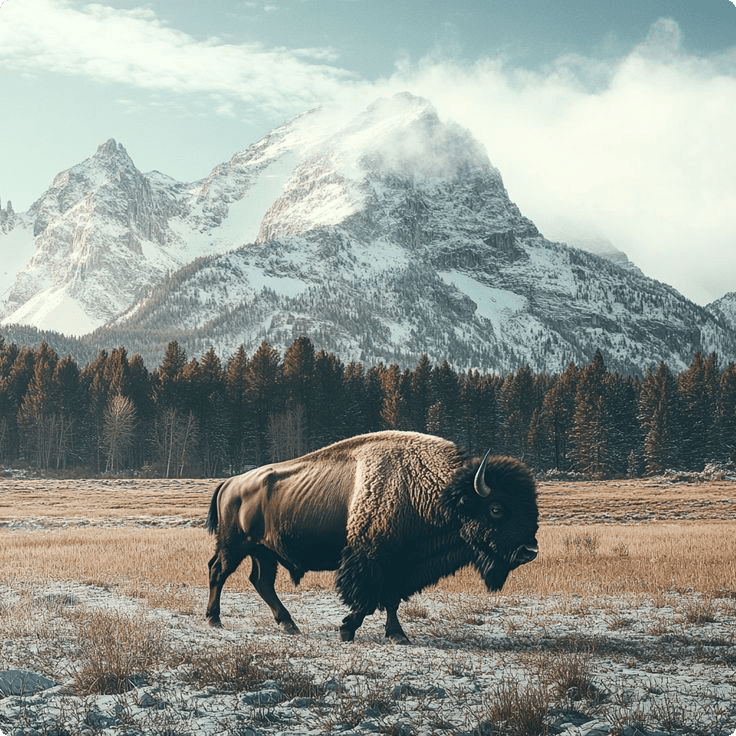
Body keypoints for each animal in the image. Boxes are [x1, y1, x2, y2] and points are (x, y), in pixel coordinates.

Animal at [205, 430, 538, 643]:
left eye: (531, 506)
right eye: (497, 508)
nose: (530, 550)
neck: (431, 491)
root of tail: (230, 483)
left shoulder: (400, 565)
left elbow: (391, 600)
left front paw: (397, 635)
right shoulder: (371, 559)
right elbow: (367, 600)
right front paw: (346, 629)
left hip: (264, 552)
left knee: (261, 582)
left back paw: (289, 625)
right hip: (234, 545)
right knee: (218, 572)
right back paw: (214, 620)